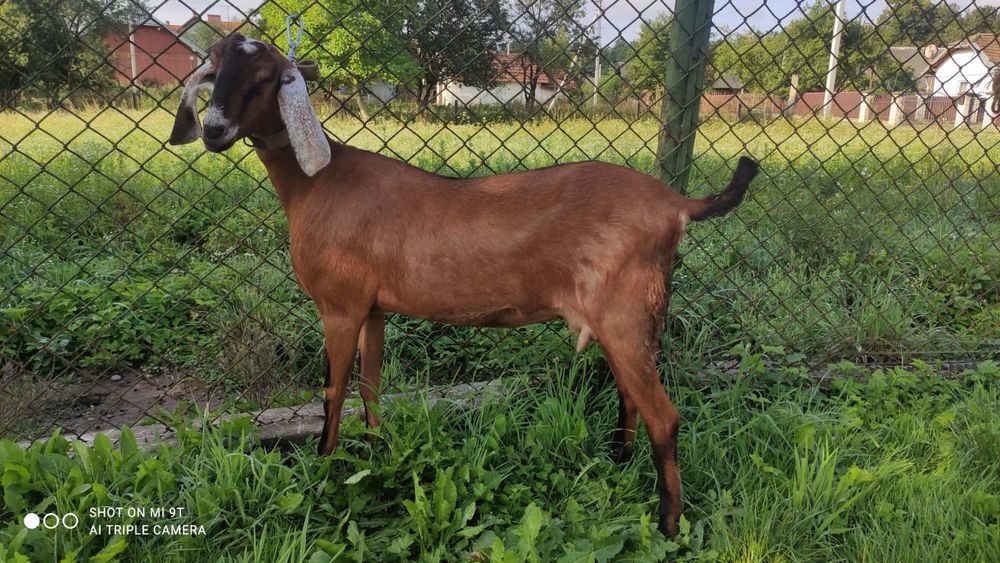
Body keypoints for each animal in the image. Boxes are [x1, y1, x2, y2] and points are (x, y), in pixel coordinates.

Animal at [169, 33, 760, 537]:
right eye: (213, 70)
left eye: (266, 78)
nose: (215, 131)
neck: (319, 183)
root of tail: (676, 204)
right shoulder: (374, 309)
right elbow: (370, 385)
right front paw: (377, 452)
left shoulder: (339, 305)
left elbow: (332, 393)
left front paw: (326, 471)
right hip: (628, 320)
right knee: (631, 397)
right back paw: (615, 463)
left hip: (624, 313)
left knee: (665, 416)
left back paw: (668, 524)